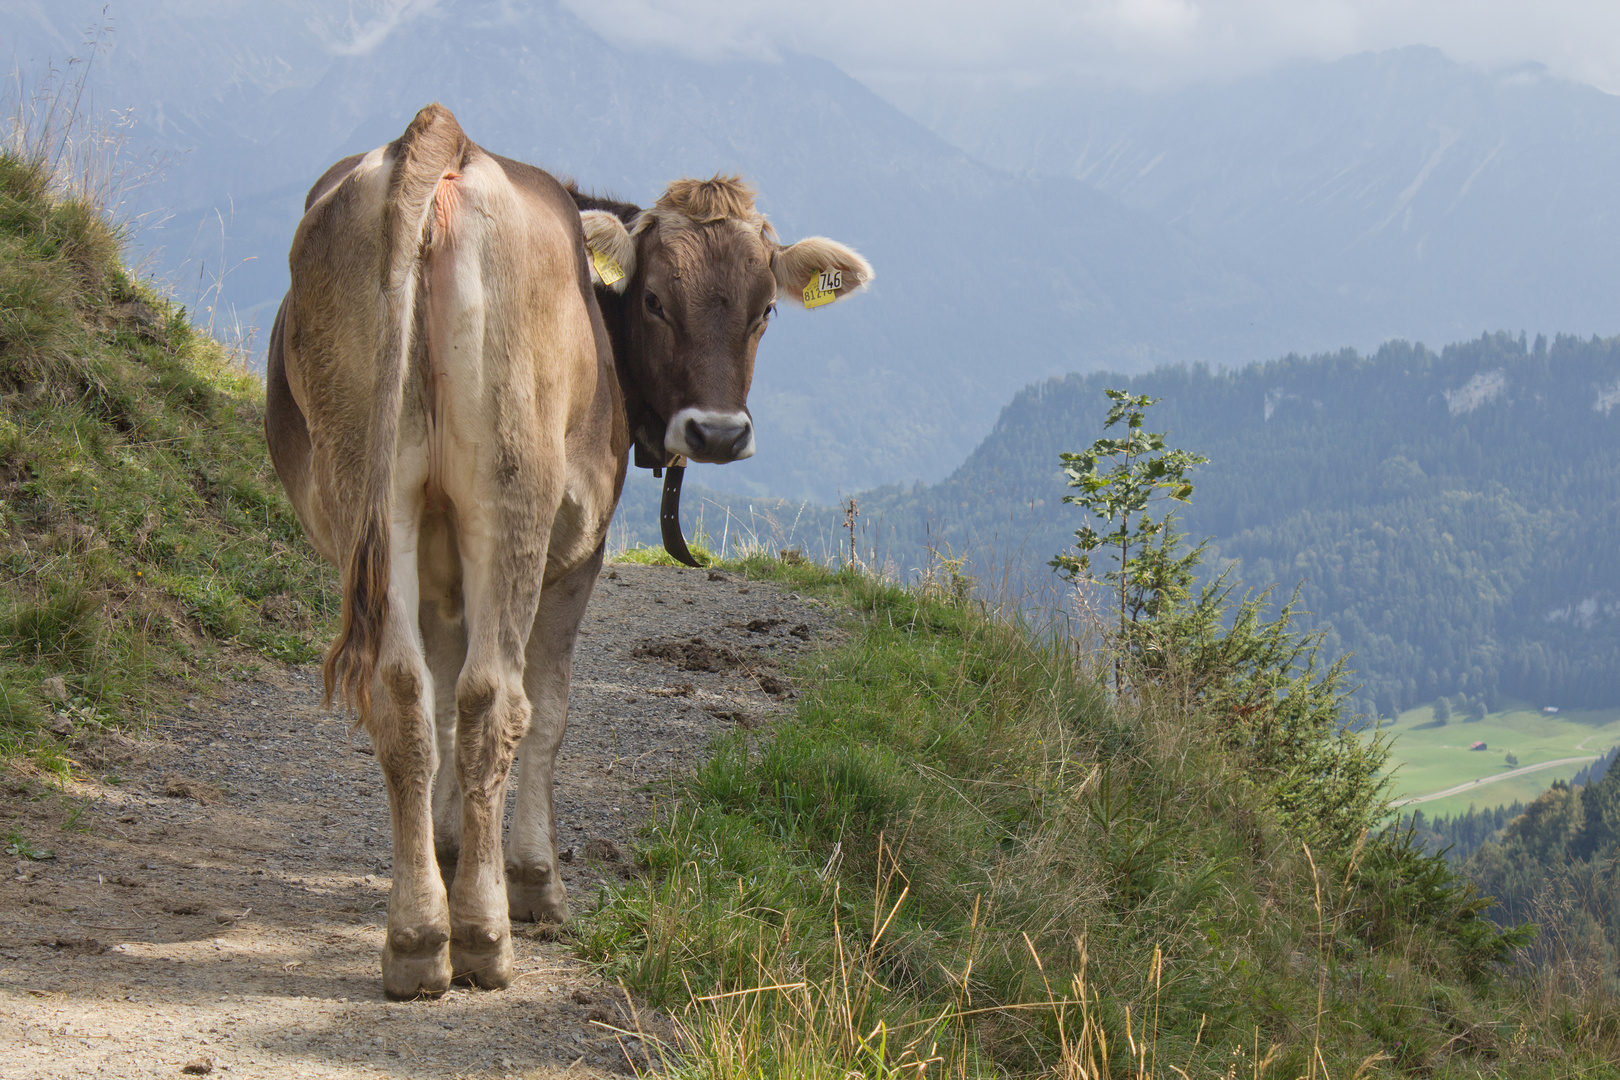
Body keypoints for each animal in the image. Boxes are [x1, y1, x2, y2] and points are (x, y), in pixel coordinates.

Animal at [265, 105, 874, 1003]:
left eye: (765, 308)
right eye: (653, 299)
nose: (717, 433)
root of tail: (443, 141)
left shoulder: (438, 560)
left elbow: (437, 692)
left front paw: (448, 844)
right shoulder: (577, 551)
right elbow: (546, 709)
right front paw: (528, 876)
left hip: (365, 492)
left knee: (401, 694)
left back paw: (414, 939)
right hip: (513, 496)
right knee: (498, 698)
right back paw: (481, 937)